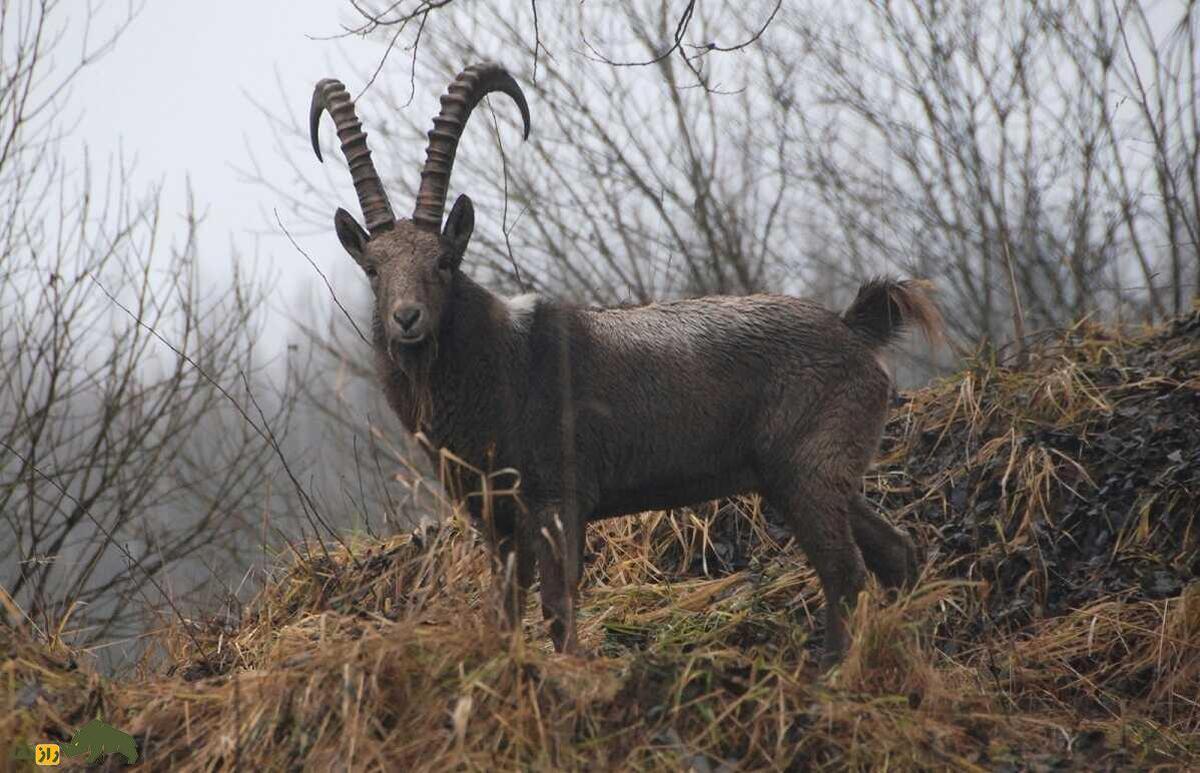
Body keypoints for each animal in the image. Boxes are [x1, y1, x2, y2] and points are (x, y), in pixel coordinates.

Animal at [307, 61, 936, 662]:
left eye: (443, 260)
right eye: (372, 268)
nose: (407, 319)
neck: (497, 366)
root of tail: (853, 329)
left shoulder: (559, 501)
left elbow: (558, 607)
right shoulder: (498, 521)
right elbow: (504, 616)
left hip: (807, 474)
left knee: (845, 573)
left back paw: (836, 667)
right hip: (811, 479)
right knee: (894, 553)